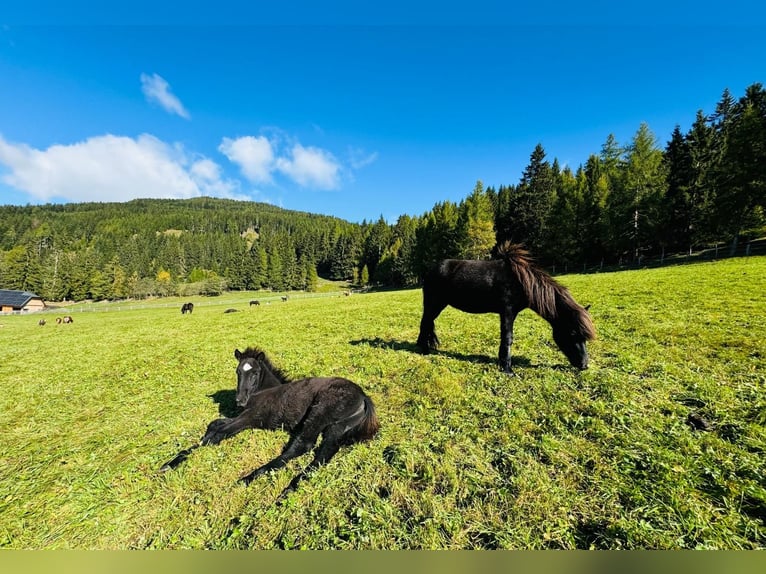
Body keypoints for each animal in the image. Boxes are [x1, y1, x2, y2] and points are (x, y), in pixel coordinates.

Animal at [160, 346, 380, 500]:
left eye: (255, 373)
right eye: (238, 371)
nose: (240, 401)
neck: (262, 393)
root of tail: (363, 396)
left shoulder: (250, 418)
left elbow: (217, 435)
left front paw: (172, 463)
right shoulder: (243, 415)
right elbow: (214, 425)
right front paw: (170, 463)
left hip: (319, 413)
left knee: (303, 445)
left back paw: (252, 479)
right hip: (336, 427)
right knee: (325, 452)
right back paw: (293, 484)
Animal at [416, 243, 596, 374]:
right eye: (572, 333)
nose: (584, 365)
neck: (521, 282)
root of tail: (431, 270)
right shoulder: (507, 312)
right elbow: (508, 338)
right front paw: (507, 369)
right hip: (434, 304)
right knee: (425, 323)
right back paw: (424, 351)